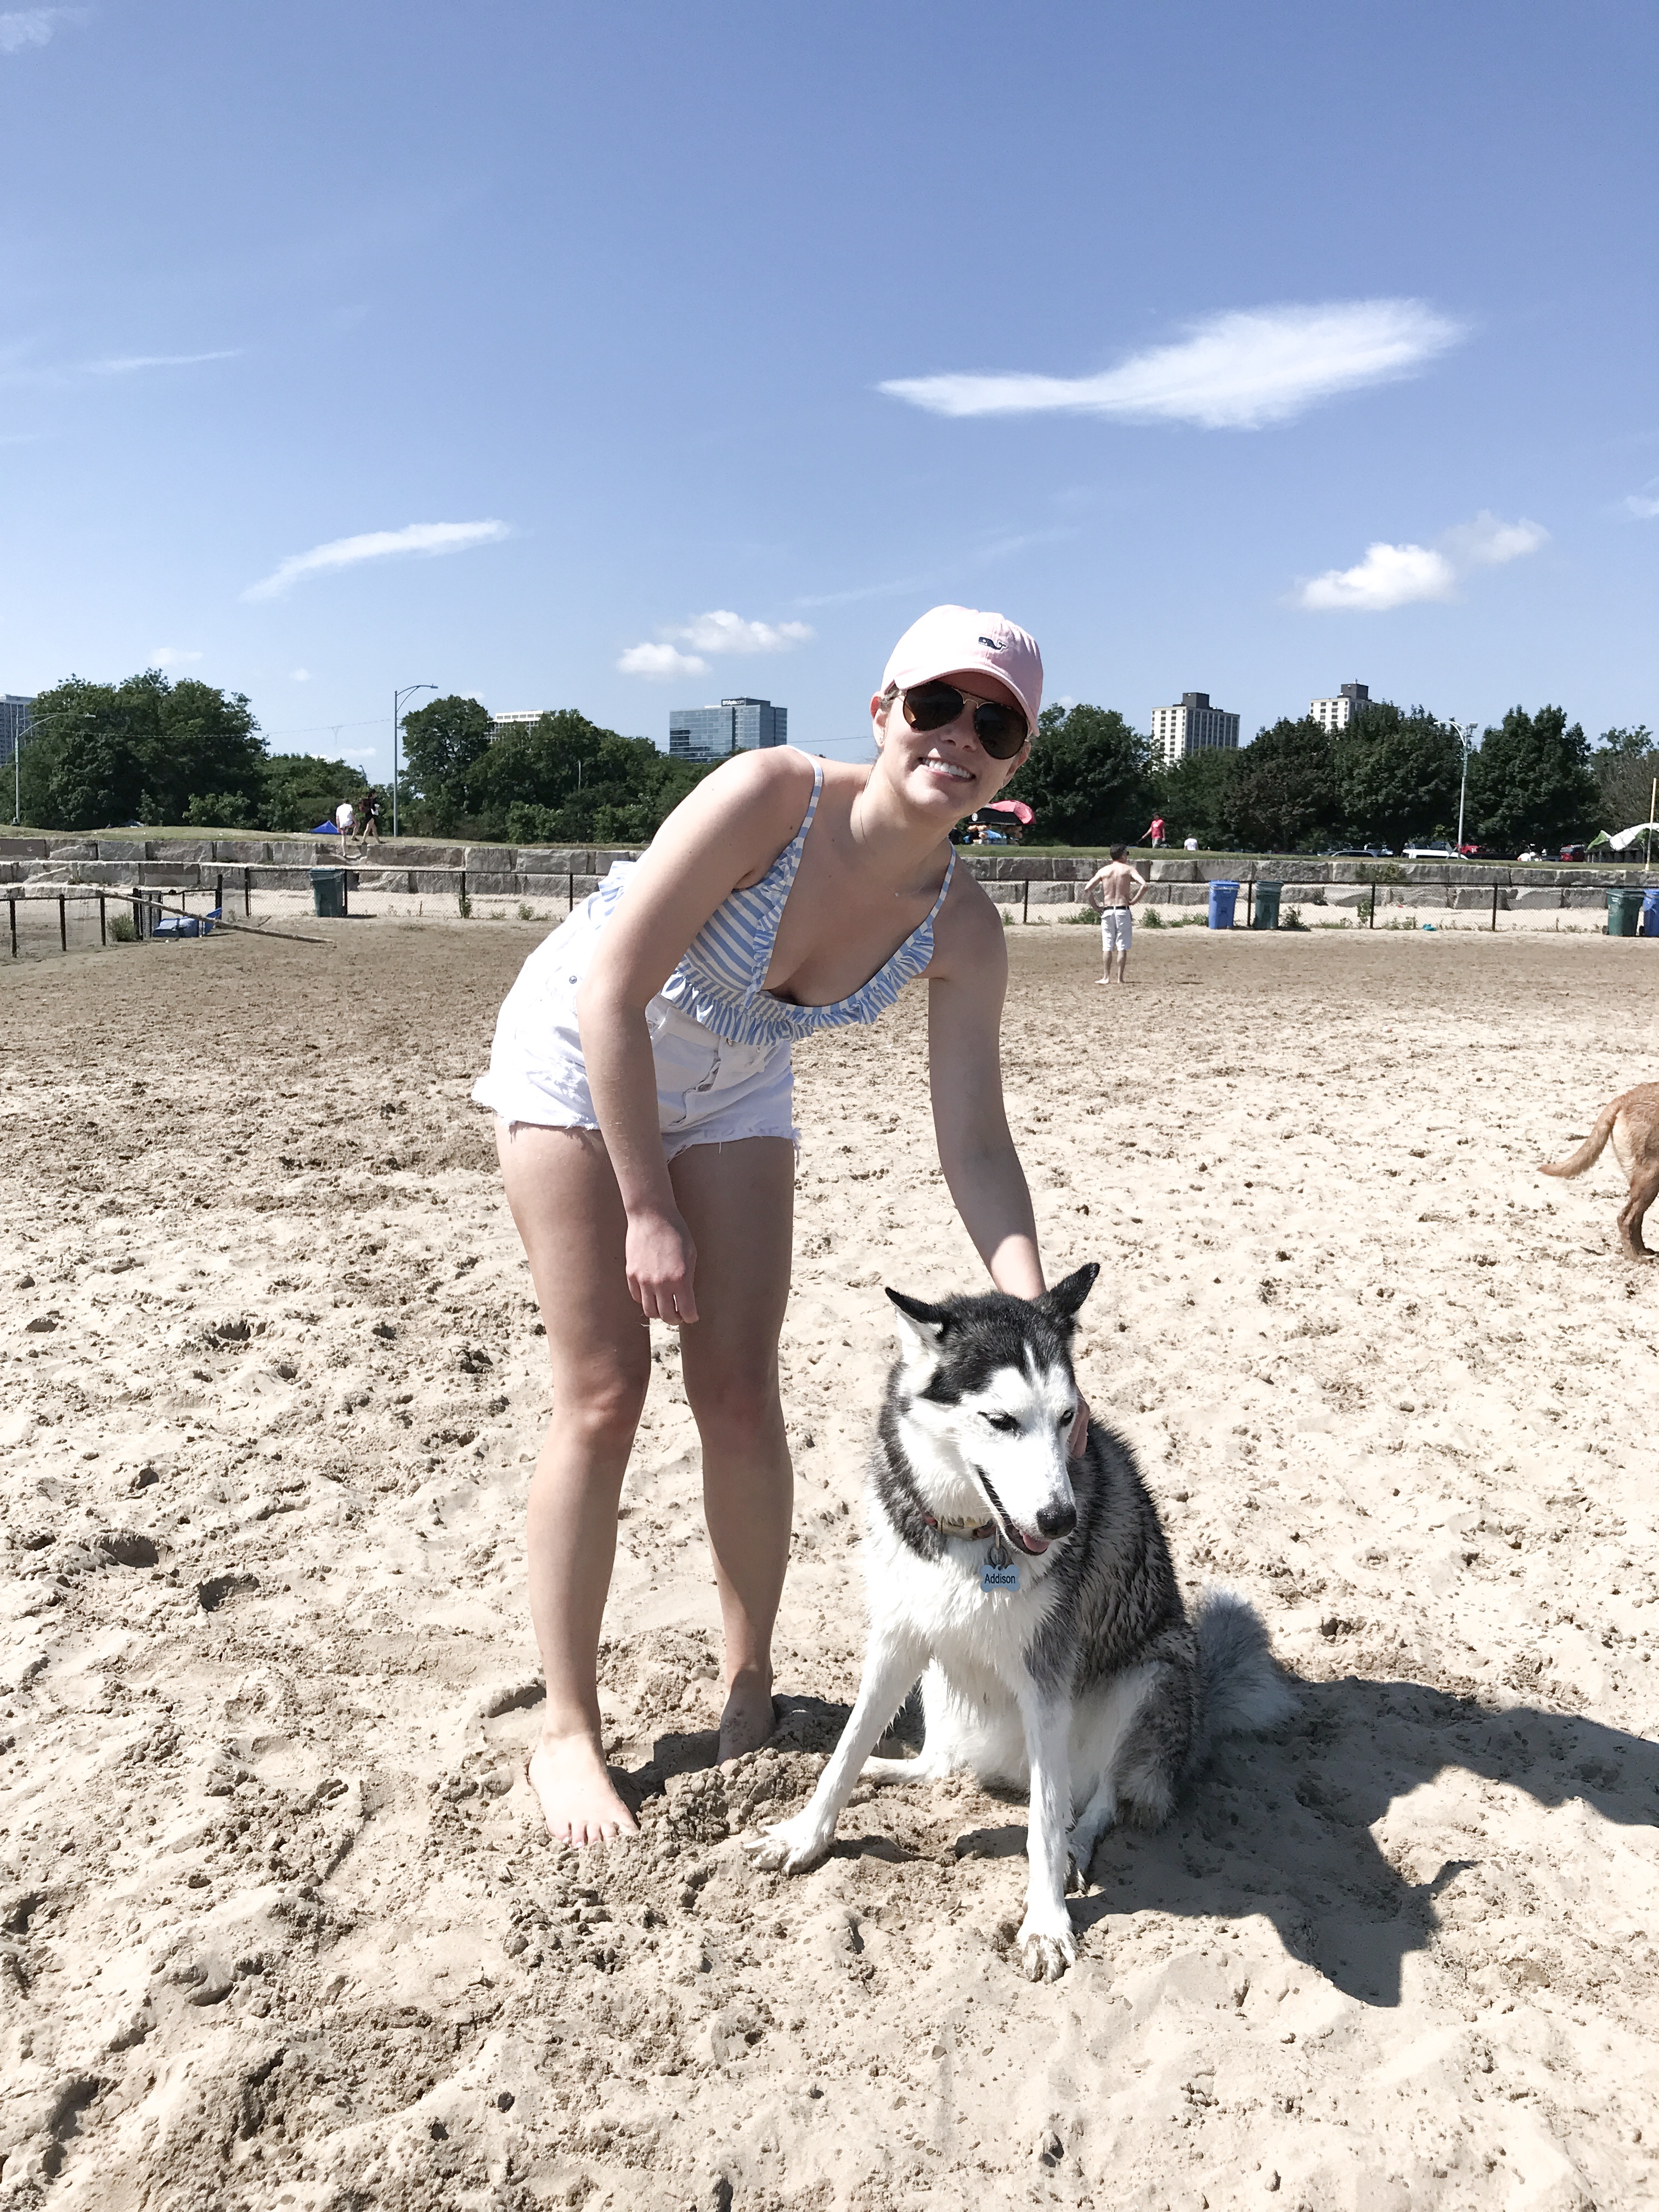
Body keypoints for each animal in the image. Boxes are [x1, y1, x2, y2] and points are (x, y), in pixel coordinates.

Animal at [752, 1265, 1300, 1990]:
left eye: (1067, 1417)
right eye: (1001, 1420)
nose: (1063, 1520)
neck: (971, 1535)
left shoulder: (1047, 1682)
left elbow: (1043, 1820)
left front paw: (1045, 1920)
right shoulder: (897, 1638)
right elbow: (843, 1752)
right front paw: (808, 1833)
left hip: (1156, 1670)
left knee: (1095, 1802)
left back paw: (1073, 1846)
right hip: (939, 1671)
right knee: (942, 1763)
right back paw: (892, 1768)